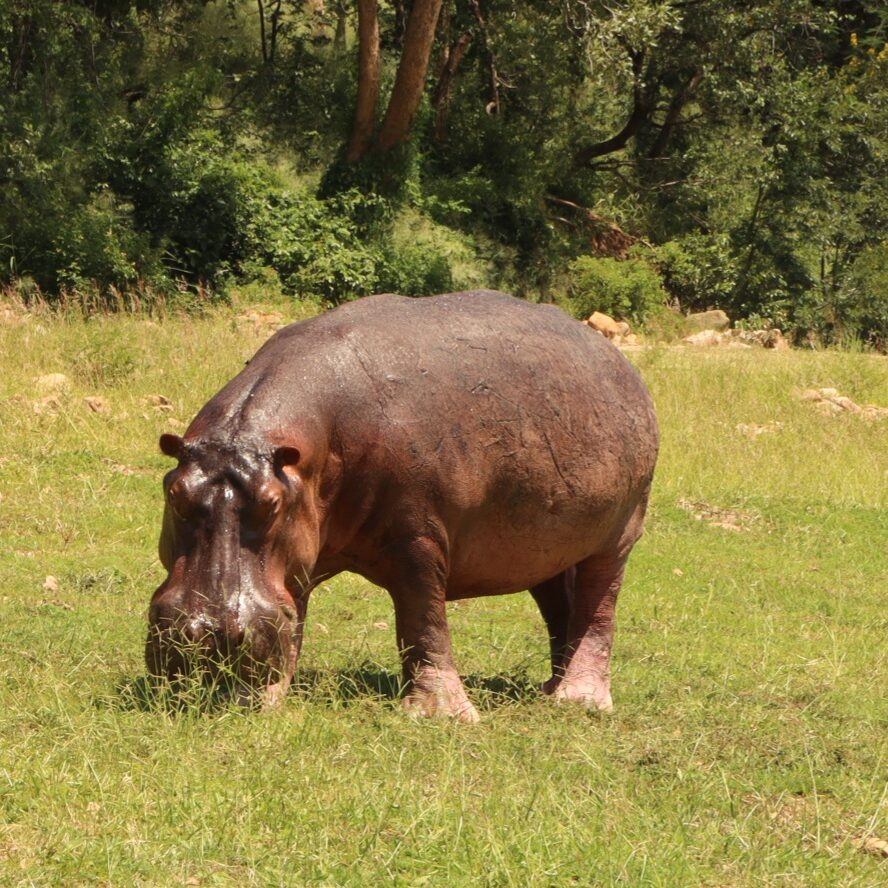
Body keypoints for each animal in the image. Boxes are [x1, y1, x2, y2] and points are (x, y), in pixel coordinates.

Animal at [147, 290, 658, 721]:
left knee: (599, 606)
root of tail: (623, 365)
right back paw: (550, 690)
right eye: (173, 491)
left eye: (272, 504)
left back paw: (580, 701)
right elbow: (290, 616)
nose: (203, 634)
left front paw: (442, 716)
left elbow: (422, 618)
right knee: (560, 606)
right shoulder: (299, 550)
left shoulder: (417, 537)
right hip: (543, 549)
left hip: (620, 533)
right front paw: (264, 699)